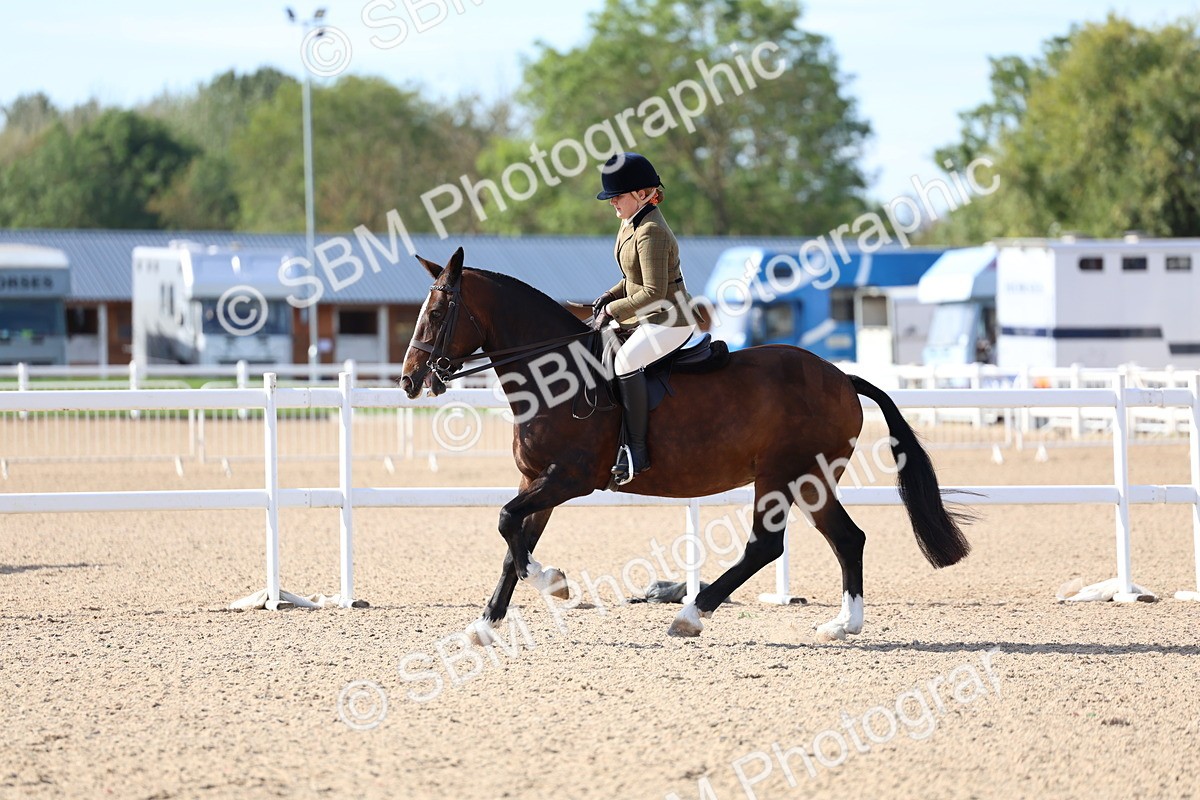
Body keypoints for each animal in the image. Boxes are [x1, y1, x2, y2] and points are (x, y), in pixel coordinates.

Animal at [399, 248, 970, 643]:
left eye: (437, 312)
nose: (409, 380)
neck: (554, 376)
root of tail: (841, 377)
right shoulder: (536, 479)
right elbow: (512, 541)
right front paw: (485, 625)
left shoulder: (569, 478)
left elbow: (506, 523)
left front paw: (554, 582)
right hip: (811, 481)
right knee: (847, 539)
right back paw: (842, 625)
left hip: (784, 476)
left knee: (767, 546)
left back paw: (691, 615)